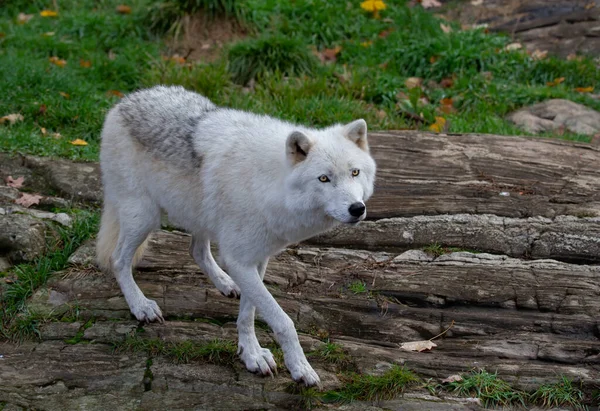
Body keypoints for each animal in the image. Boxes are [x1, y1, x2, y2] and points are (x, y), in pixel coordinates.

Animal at [96, 85, 378, 388]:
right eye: (324, 178)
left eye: (355, 172)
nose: (357, 209)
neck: (270, 184)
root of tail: (124, 101)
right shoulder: (241, 260)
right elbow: (283, 322)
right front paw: (299, 368)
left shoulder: (255, 259)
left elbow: (249, 313)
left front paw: (250, 353)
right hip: (144, 217)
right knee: (117, 260)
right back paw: (141, 306)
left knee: (196, 251)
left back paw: (225, 283)